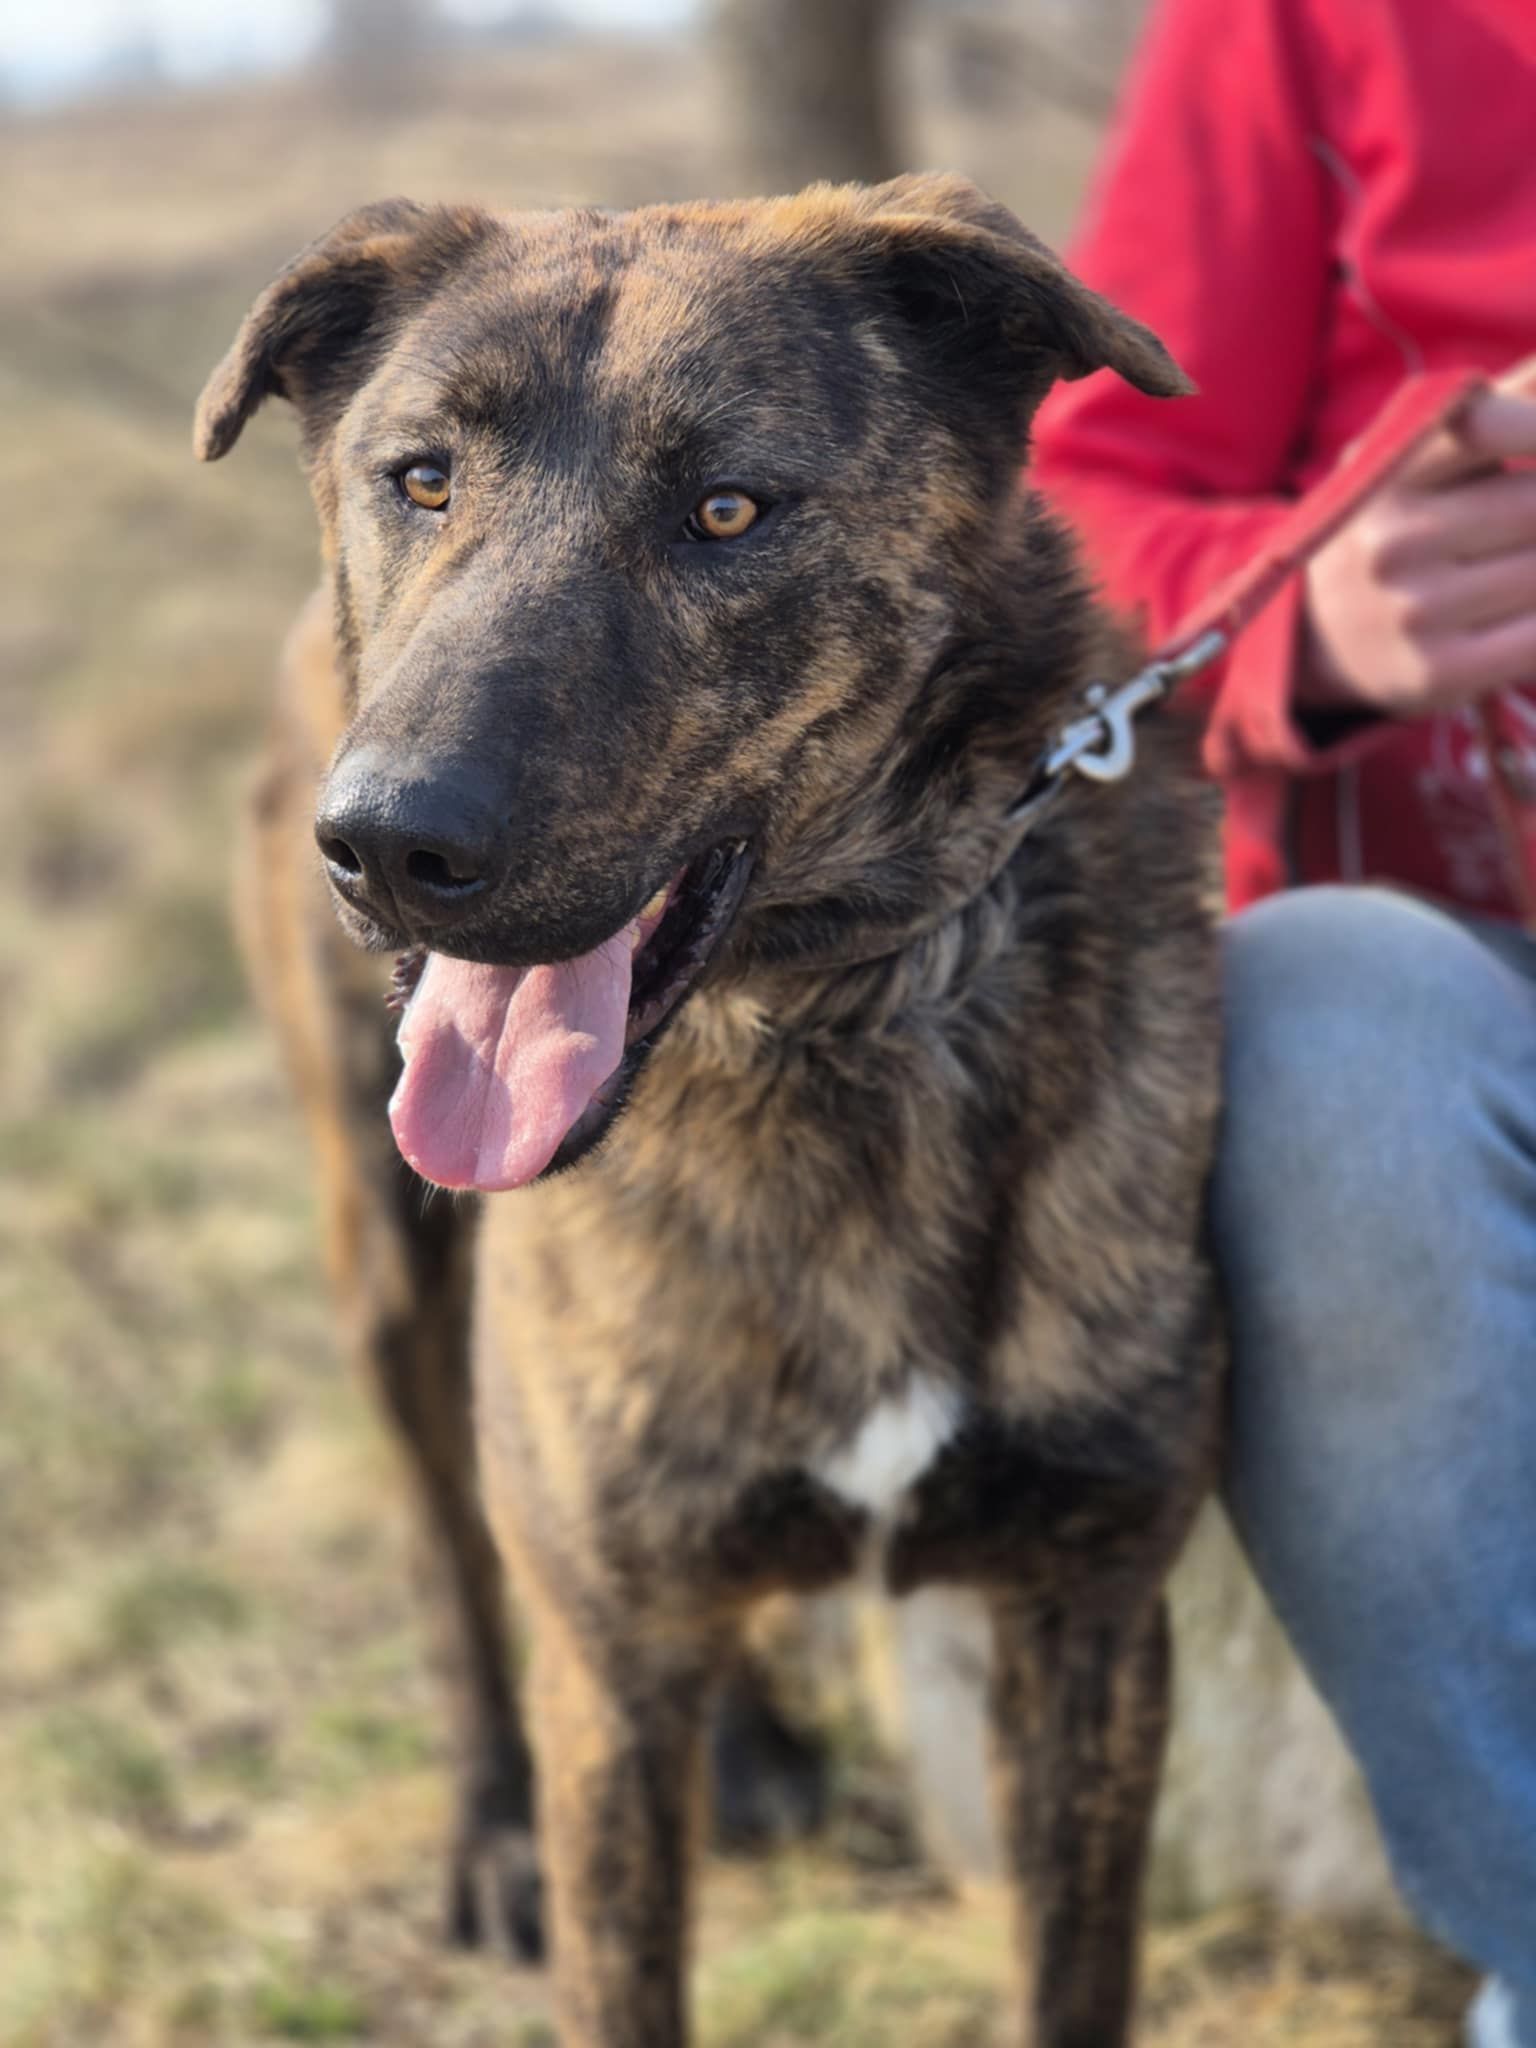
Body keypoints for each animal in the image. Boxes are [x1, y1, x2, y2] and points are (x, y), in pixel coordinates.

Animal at [197, 174, 1222, 2046]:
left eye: (729, 509)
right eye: (420, 479)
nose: (386, 843)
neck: (825, 1027)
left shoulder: (1089, 1622)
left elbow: (1072, 1975)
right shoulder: (606, 1676)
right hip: (390, 1276)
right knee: (457, 1556)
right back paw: (494, 1829)